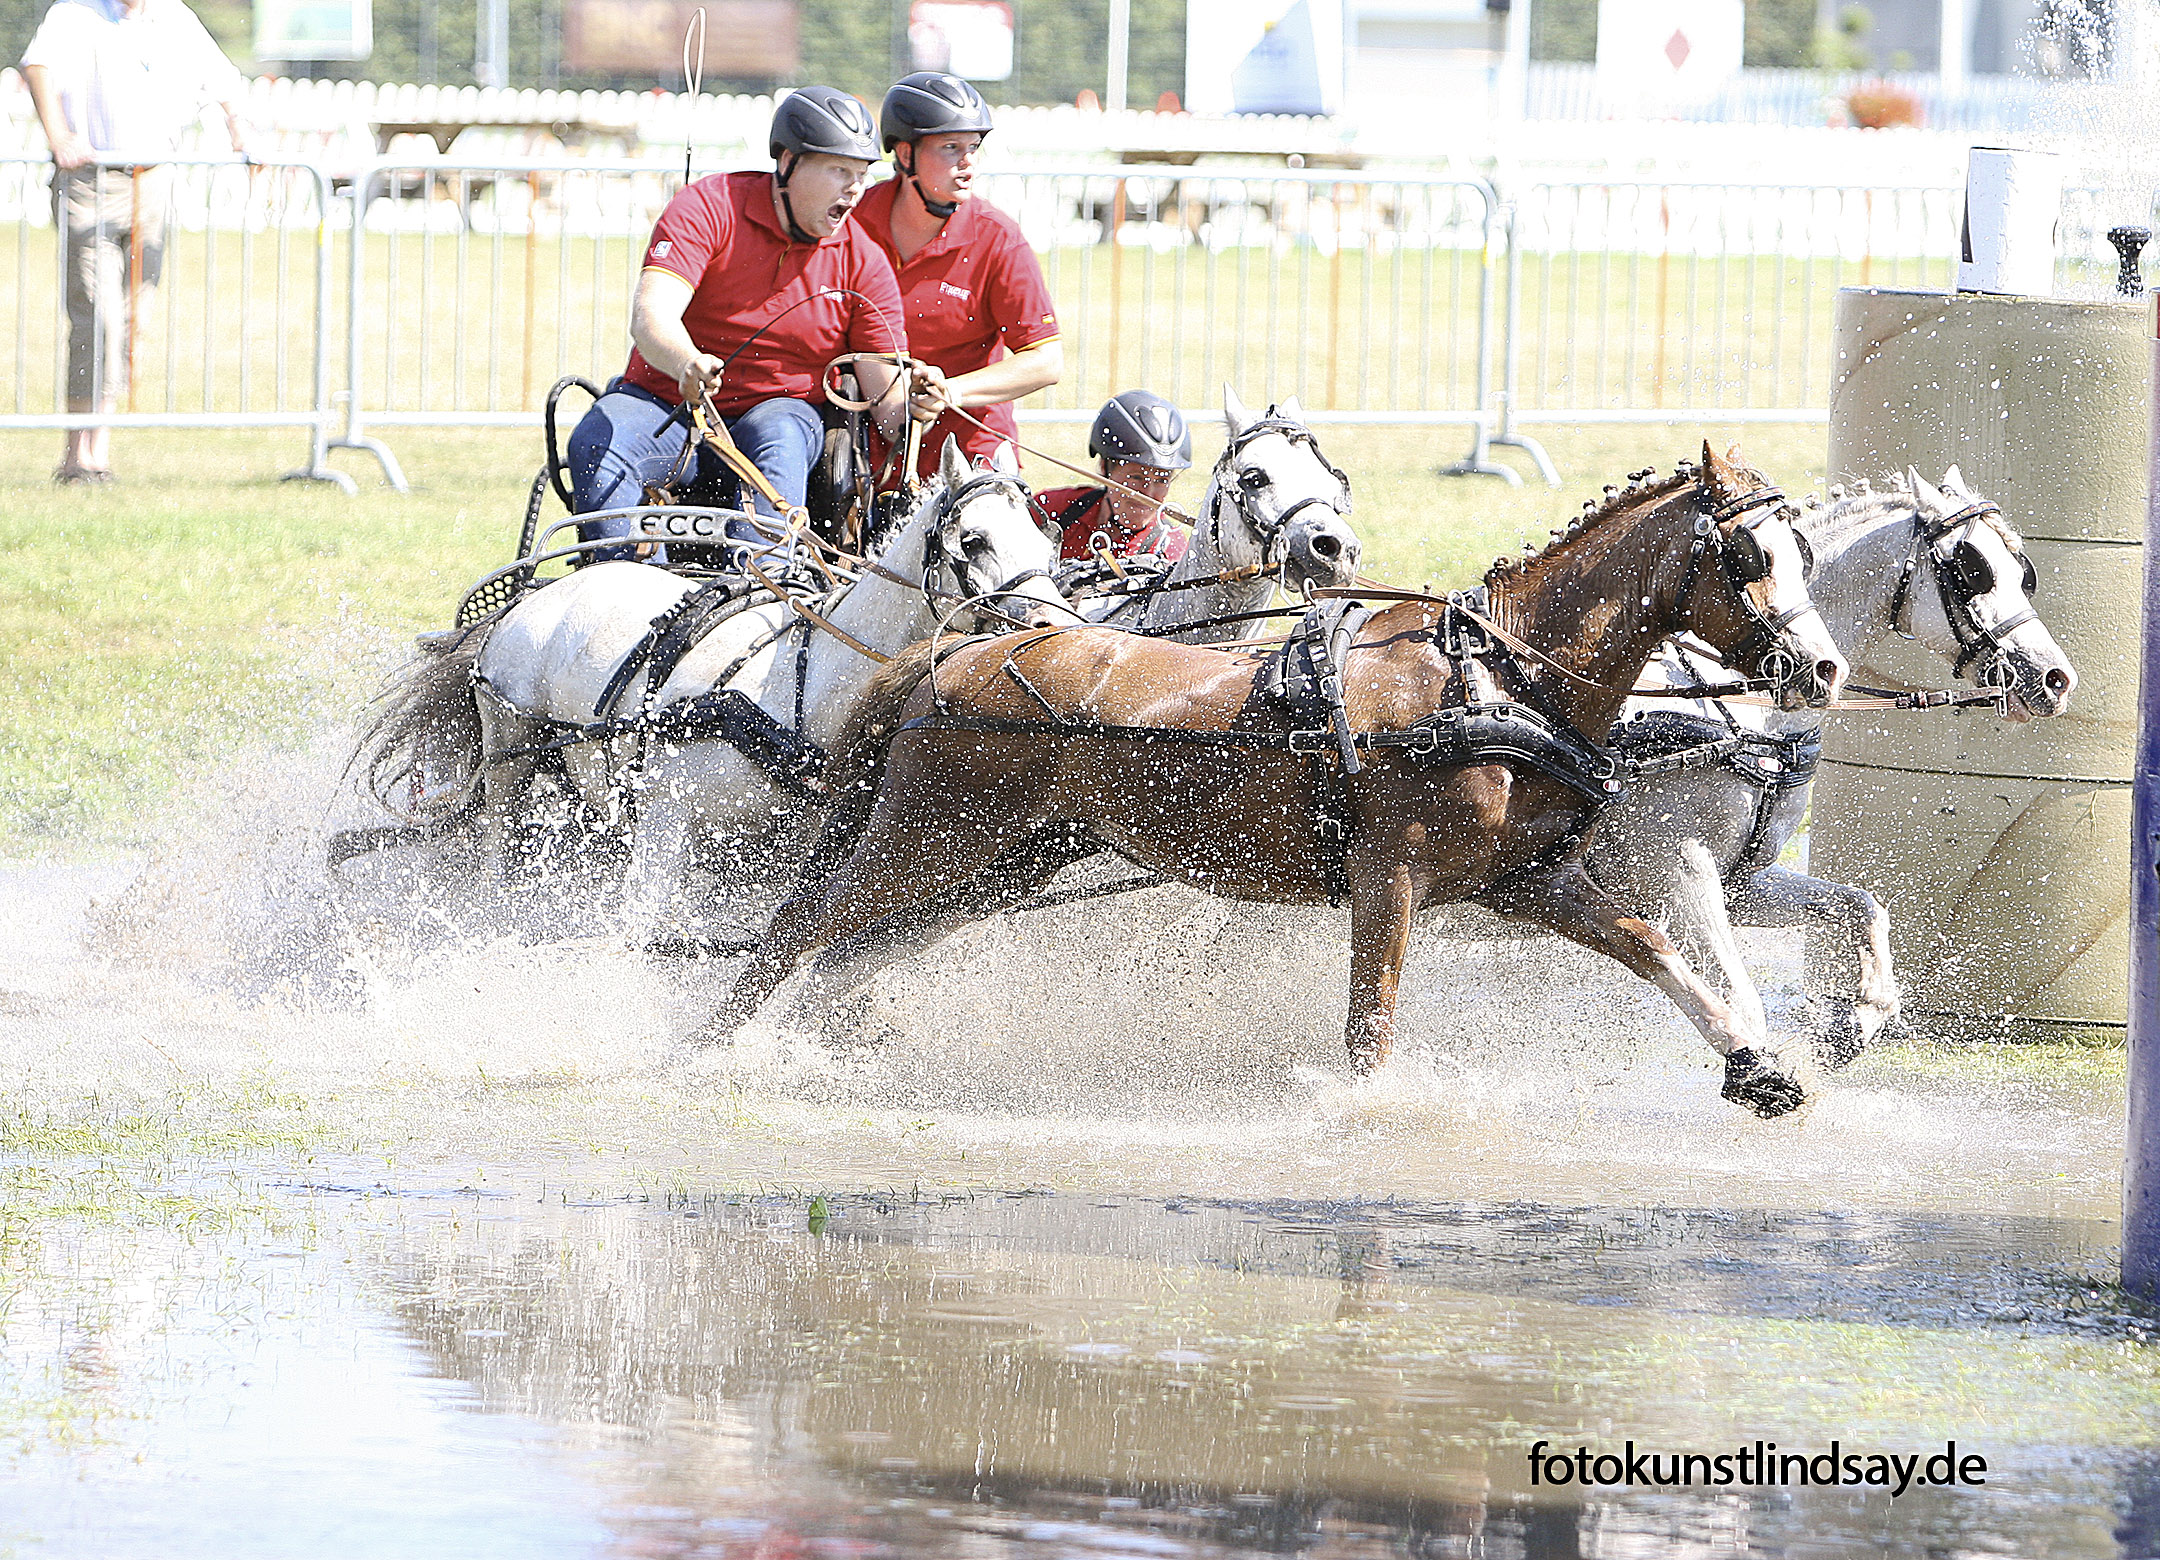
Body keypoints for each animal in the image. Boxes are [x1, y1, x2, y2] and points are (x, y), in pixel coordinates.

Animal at [350, 439, 1074, 945]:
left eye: (1050, 541)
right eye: (972, 540)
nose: (1055, 629)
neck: (805, 689)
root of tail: (536, 594)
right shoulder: (665, 828)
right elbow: (633, 931)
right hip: (512, 761)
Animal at [710, 445, 1851, 1117]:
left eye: (1803, 550)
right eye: (1750, 555)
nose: (1823, 670)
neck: (1495, 675)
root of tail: (954, 654)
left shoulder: (1526, 882)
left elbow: (1655, 947)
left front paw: (1754, 1065)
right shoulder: (1391, 878)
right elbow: (1370, 1020)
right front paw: (1360, 1114)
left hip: (1005, 864)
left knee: (851, 950)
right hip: (929, 837)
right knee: (802, 922)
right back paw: (707, 1049)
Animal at [1585, 465, 2077, 1067]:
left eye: (2021, 571)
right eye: (1972, 570)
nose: (2056, 678)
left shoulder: (1742, 883)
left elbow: (1861, 907)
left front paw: (1859, 1019)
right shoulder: (1676, 873)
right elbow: (1734, 991)